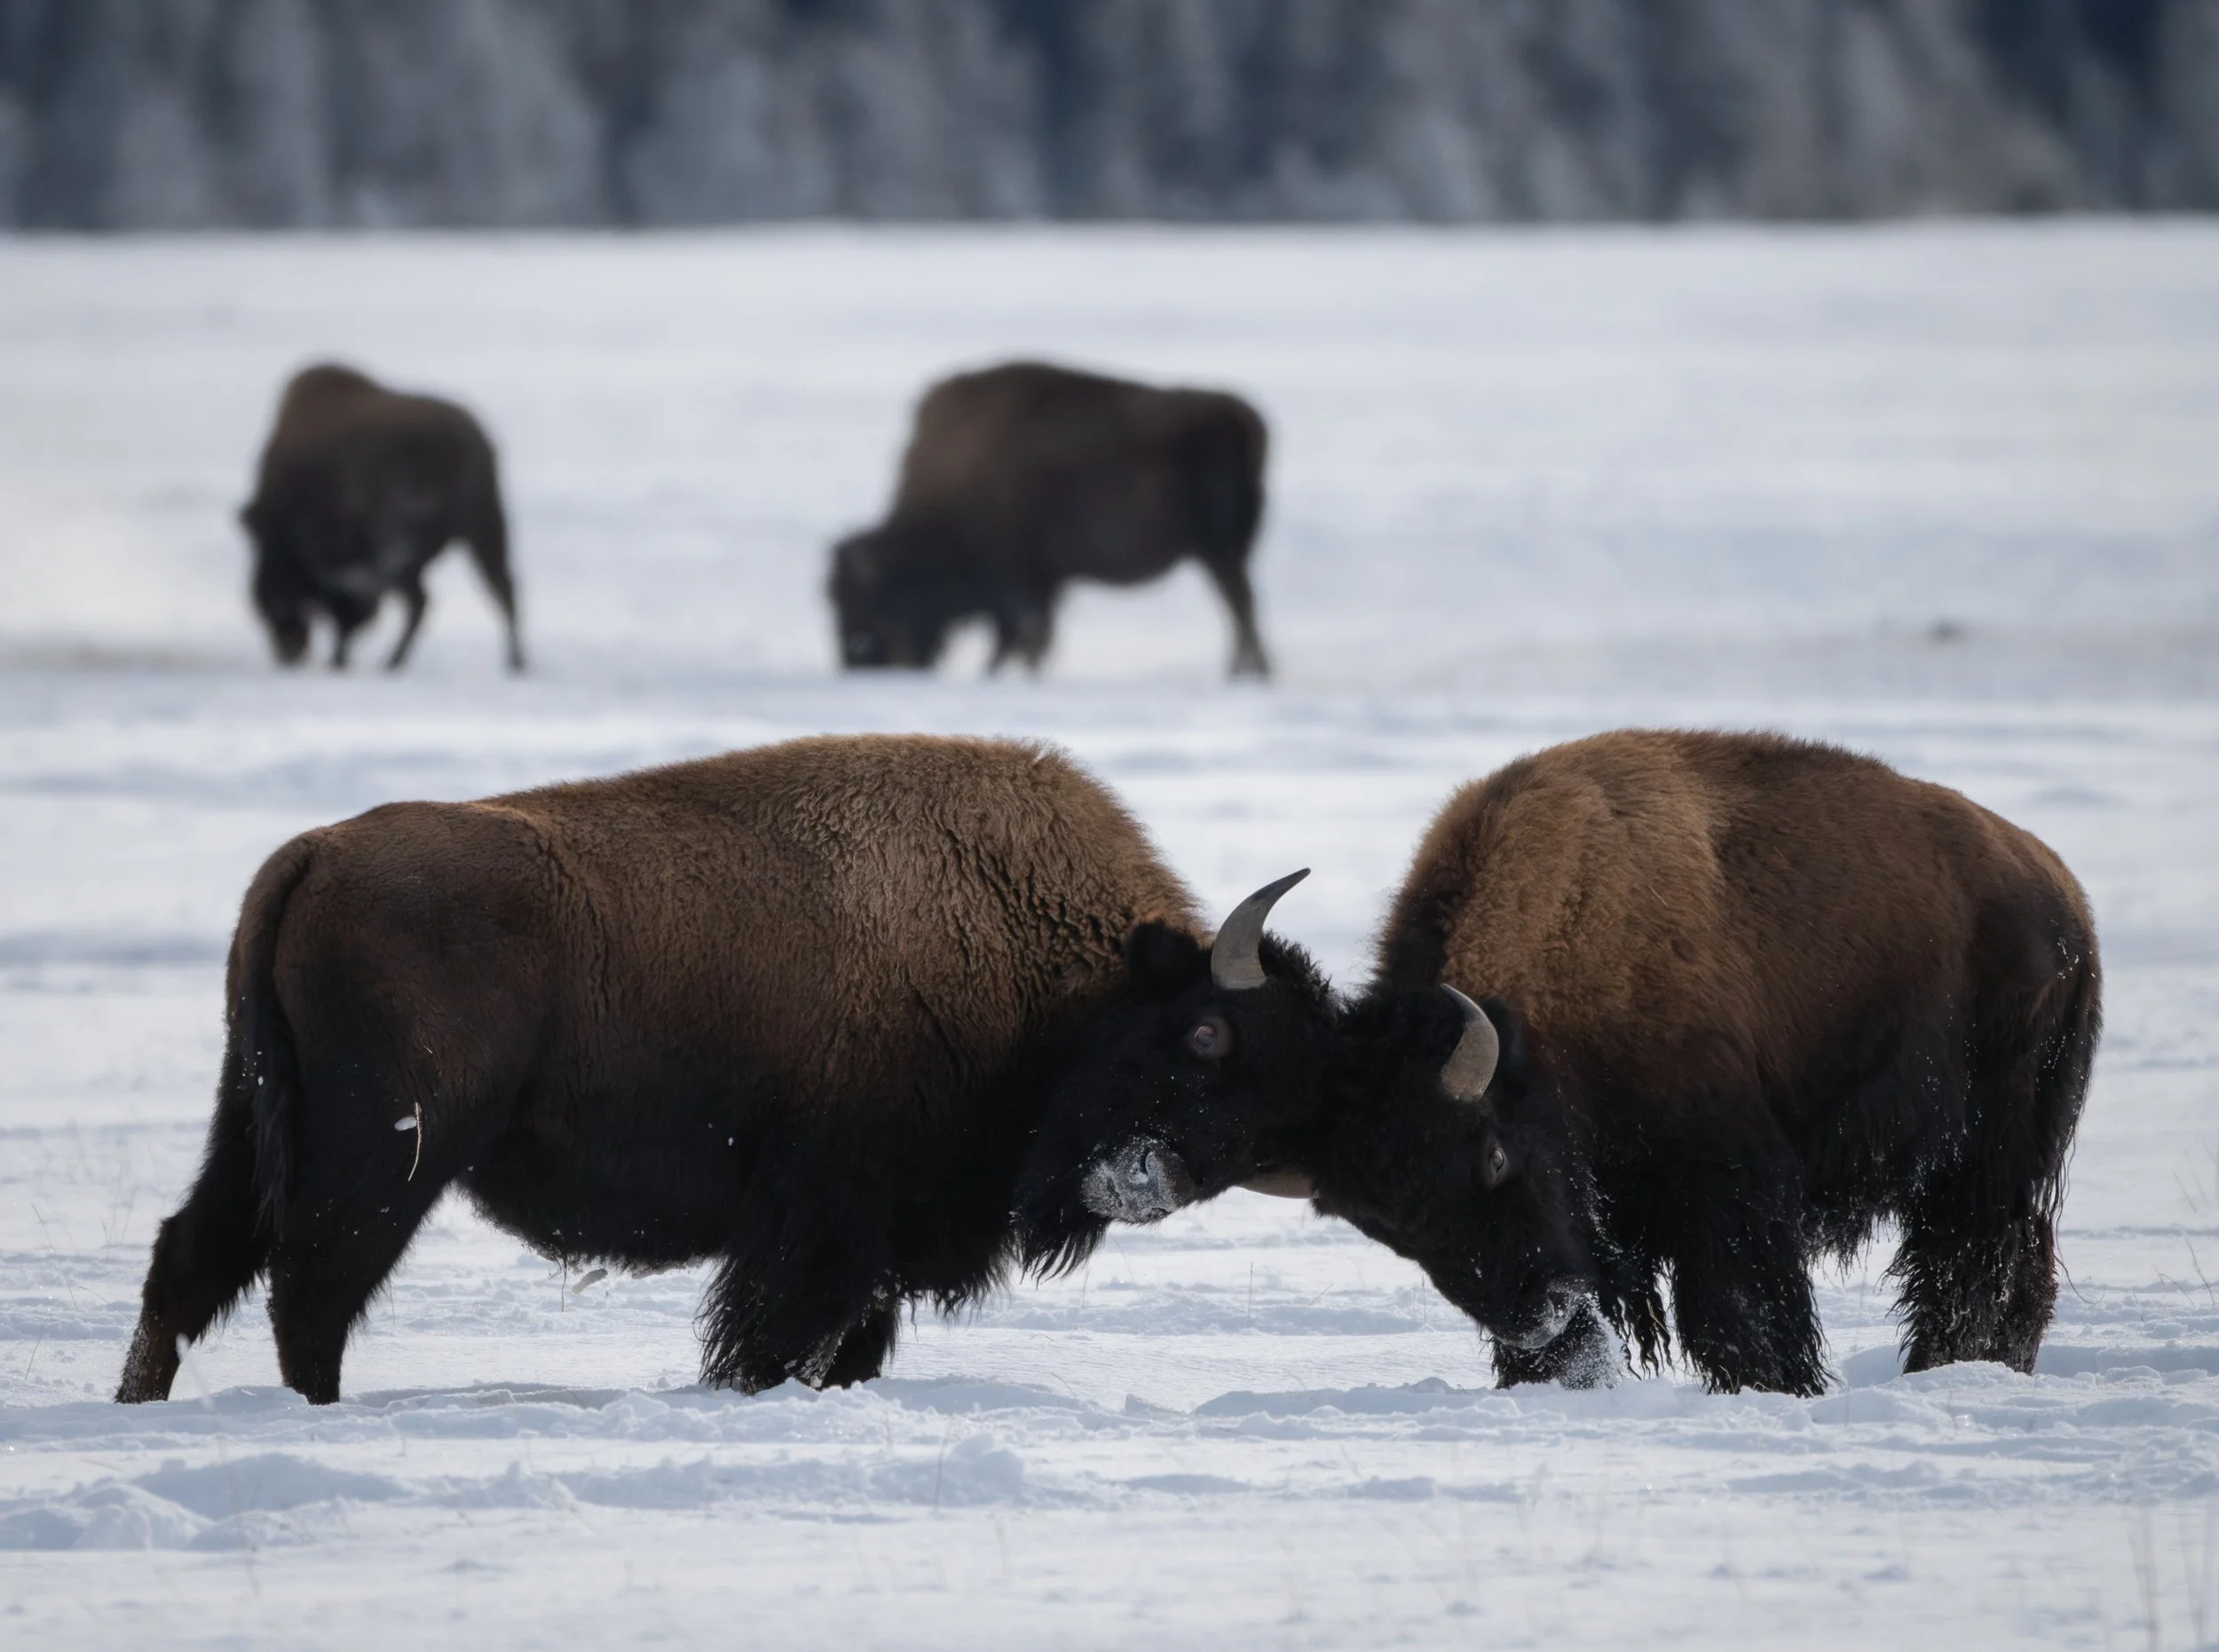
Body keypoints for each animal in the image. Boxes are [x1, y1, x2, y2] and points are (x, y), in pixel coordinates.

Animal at [118, 736, 1210, 1404]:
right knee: (311, 1287)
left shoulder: (869, 1241)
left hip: (255, 1118)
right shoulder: (828, 1216)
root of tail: (310, 854)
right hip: (391, 1154)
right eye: (1194, 1038)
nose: (1149, 1179)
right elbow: (782, 1331)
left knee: (194, 1259)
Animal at [241, 363, 523, 673]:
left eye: (274, 586)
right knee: (492, 591)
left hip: (462, 535)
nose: (289, 651)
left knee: (447, 597)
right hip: (482, 528)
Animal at [830, 361, 1271, 677]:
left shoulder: (1017, 577)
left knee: (1240, 605)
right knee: (1242, 605)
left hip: (1219, 549)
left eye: (865, 602)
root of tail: (1237, 415)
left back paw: (1242, 672)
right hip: (1224, 551)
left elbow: (1027, 633)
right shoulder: (1038, 583)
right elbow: (1026, 635)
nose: (856, 663)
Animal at [1017, 731, 2100, 1395]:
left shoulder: (1728, 1190)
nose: (1534, 1318)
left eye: (1494, 1157)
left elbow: (1742, 1316)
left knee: (1980, 1261)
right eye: (1389, 1229)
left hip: (1988, 1158)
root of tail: (2055, 887)